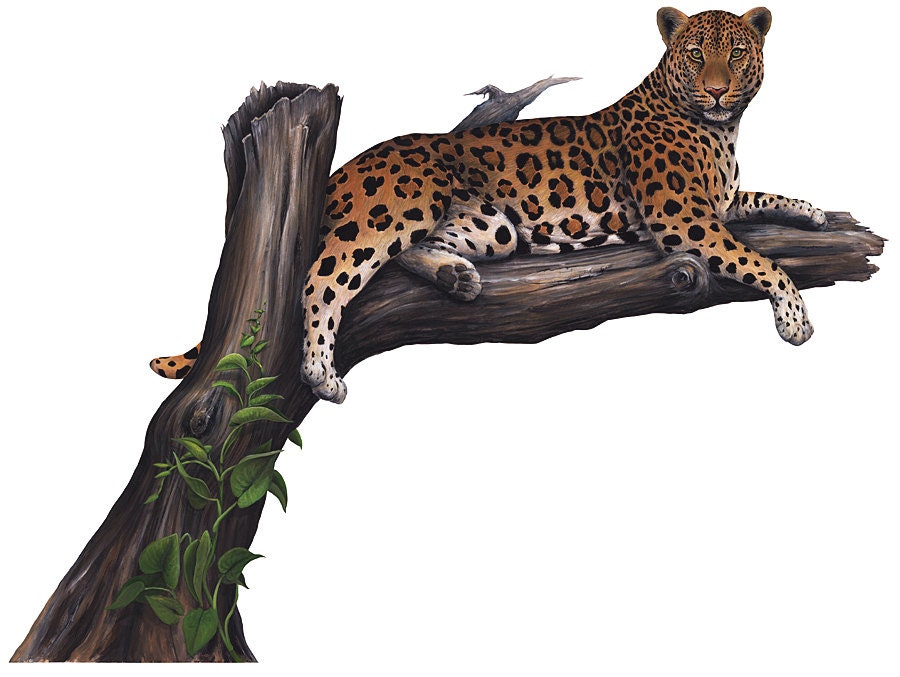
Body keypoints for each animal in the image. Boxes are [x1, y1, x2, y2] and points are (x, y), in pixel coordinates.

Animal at [152, 6, 826, 404]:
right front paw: (794, 318)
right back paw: (320, 371)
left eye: (736, 53)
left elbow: (763, 197)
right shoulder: (682, 215)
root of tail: (348, 165)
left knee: (409, 255)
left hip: (492, 225)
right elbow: (758, 260)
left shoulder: (717, 202)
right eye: (696, 55)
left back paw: (456, 276)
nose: (717, 90)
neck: (720, 129)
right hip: (396, 208)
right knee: (324, 276)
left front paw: (813, 211)